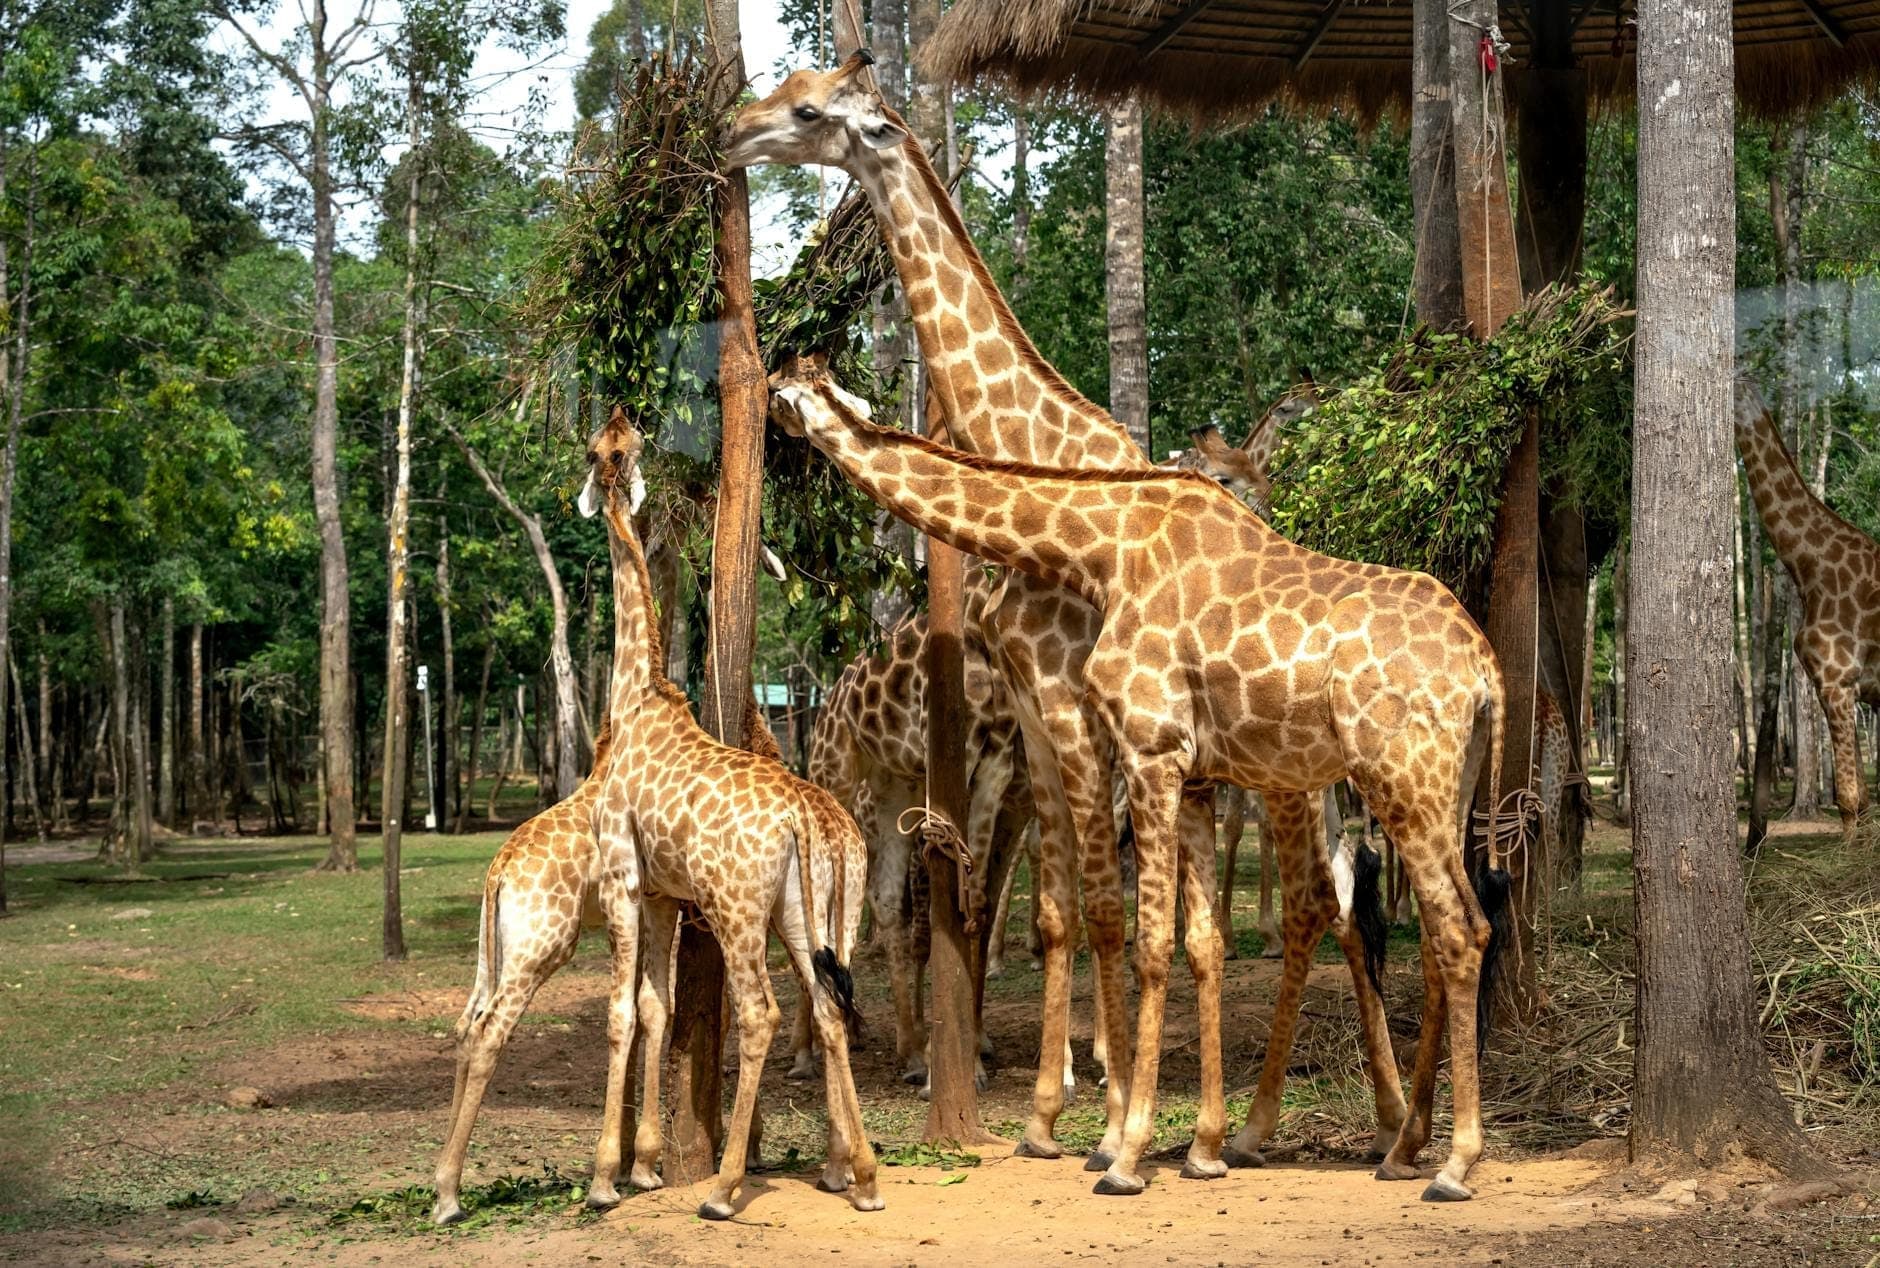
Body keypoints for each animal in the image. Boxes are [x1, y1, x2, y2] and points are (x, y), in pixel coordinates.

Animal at [574, 407, 881, 1220]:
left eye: (606, 450)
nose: (619, 415)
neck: (633, 698)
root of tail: (808, 819)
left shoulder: (621, 875)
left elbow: (620, 1011)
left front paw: (605, 1178)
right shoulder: (658, 891)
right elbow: (656, 1007)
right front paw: (646, 1167)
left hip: (741, 907)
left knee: (763, 1011)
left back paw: (724, 1188)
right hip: (811, 915)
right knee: (829, 1007)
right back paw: (861, 1178)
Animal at [727, 57, 1408, 1173]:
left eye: (811, 111)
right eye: (787, 88)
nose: (732, 132)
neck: (1034, 445)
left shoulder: (1072, 710)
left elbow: (1104, 914)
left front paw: (1110, 1109)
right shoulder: (1038, 724)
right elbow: (1059, 915)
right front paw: (1054, 1113)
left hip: (1282, 778)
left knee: (1324, 902)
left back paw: (1328, 1118)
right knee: (1327, 901)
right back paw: (1340, 1119)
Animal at [767, 369, 1510, 1201]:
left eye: (783, 400)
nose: (770, 424)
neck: (1106, 547)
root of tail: (1485, 669)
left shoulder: (1150, 747)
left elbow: (1148, 940)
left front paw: (1124, 1155)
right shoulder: (1191, 770)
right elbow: (1196, 939)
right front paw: (1202, 1148)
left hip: (1398, 776)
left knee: (1450, 927)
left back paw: (1454, 1162)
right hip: (1448, 781)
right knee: (1454, 926)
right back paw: (1402, 1145)